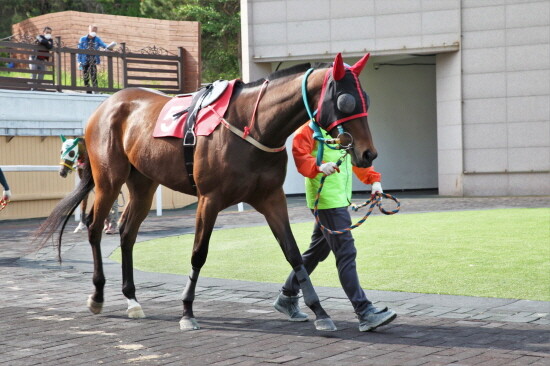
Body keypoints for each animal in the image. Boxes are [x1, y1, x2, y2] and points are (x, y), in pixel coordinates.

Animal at [35, 53, 380, 332]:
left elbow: (294, 254)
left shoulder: (271, 198)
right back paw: (97, 295)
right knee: (94, 228)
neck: (251, 126)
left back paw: (132, 299)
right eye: (345, 101)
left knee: (127, 232)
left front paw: (320, 311)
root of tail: (106, 105)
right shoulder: (209, 200)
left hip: (143, 183)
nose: (368, 154)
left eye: (366, 99)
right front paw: (187, 311)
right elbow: (198, 254)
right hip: (109, 179)